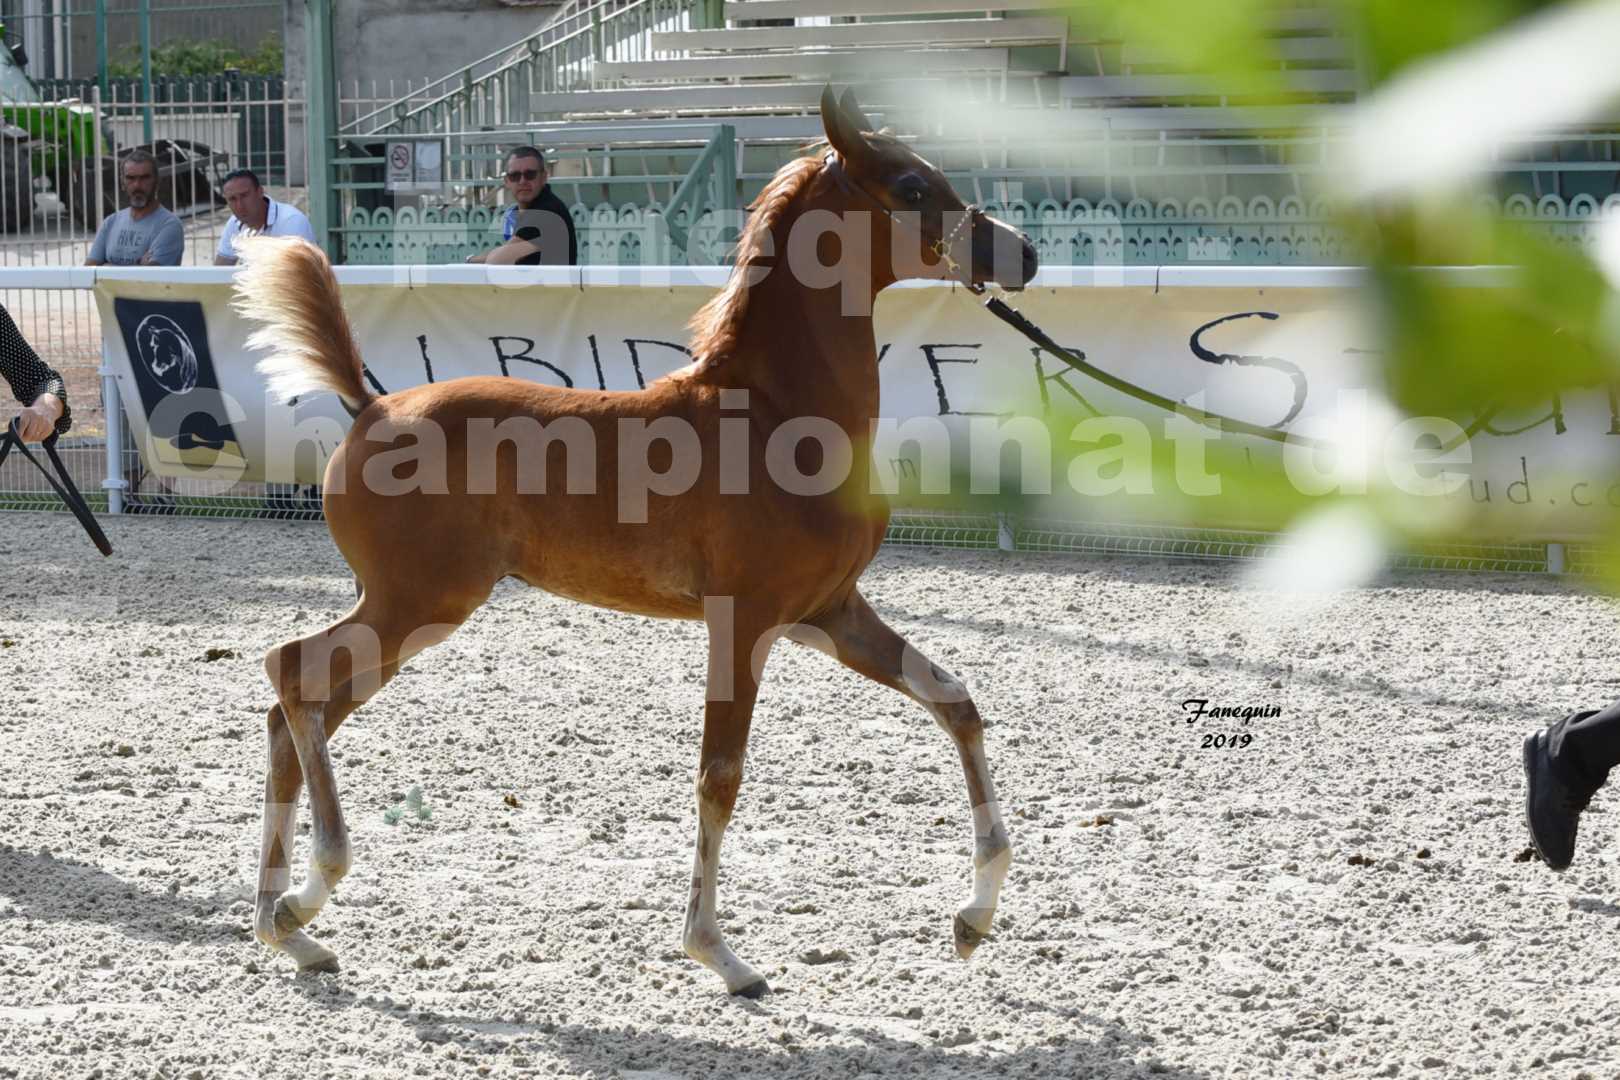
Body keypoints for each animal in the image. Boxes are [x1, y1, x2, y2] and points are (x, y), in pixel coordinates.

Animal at [239, 93, 1036, 997]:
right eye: (911, 186)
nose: (1024, 253)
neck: (773, 415)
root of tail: (371, 407)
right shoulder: (744, 621)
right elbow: (719, 777)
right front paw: (720, 954)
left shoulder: (829, 613)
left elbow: (955, 702)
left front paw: (974, 919)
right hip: (417, 604)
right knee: (292, 672)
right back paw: (310, 893)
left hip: (411, 616)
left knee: (294, 709)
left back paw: (288, 928)